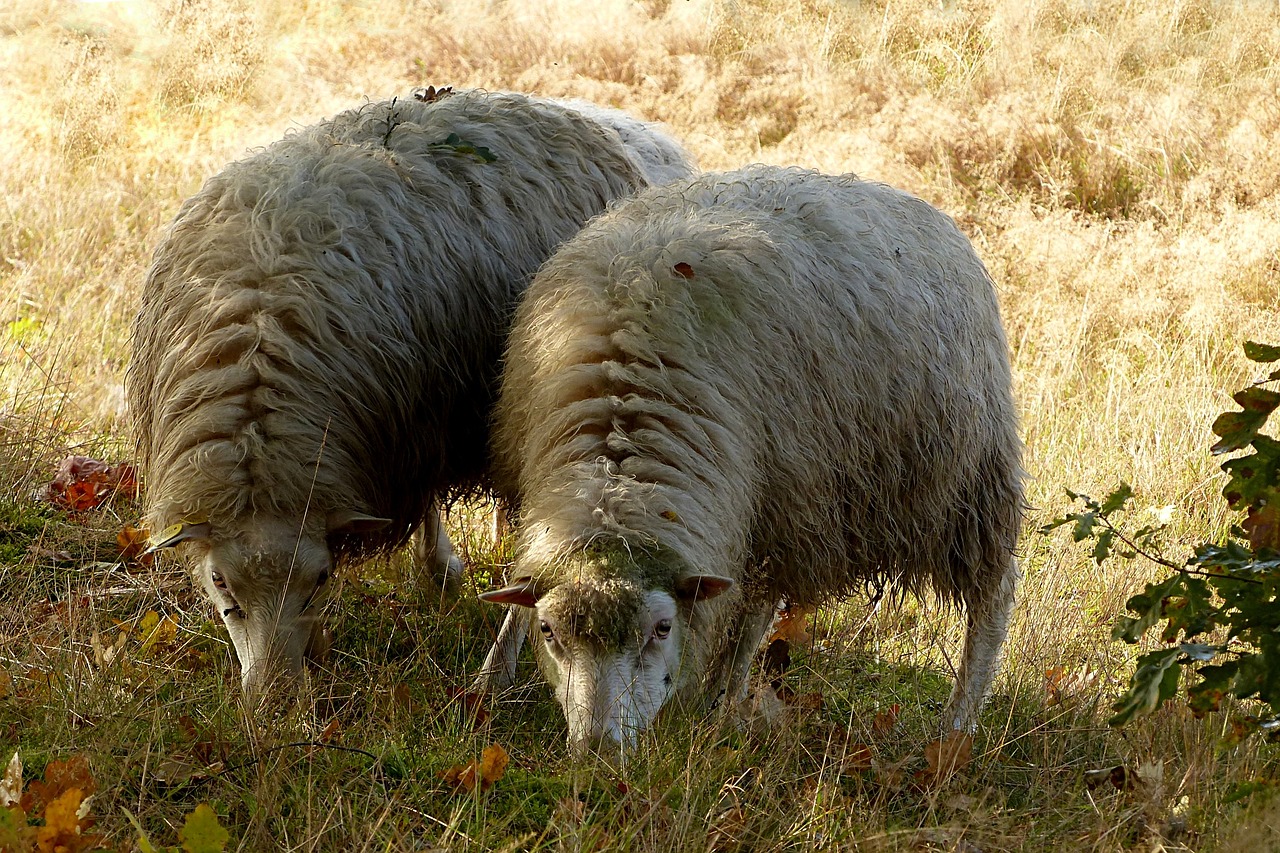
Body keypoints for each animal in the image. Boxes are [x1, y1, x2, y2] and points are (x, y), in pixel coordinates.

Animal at [476, 162, 1024, 747]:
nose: (599, 746)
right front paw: (491, 679)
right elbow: (519, 591)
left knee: (992, 595)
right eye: (550, 631)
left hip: (953, 473)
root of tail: (915, 205)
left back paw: (956, 724)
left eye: (662, 629)